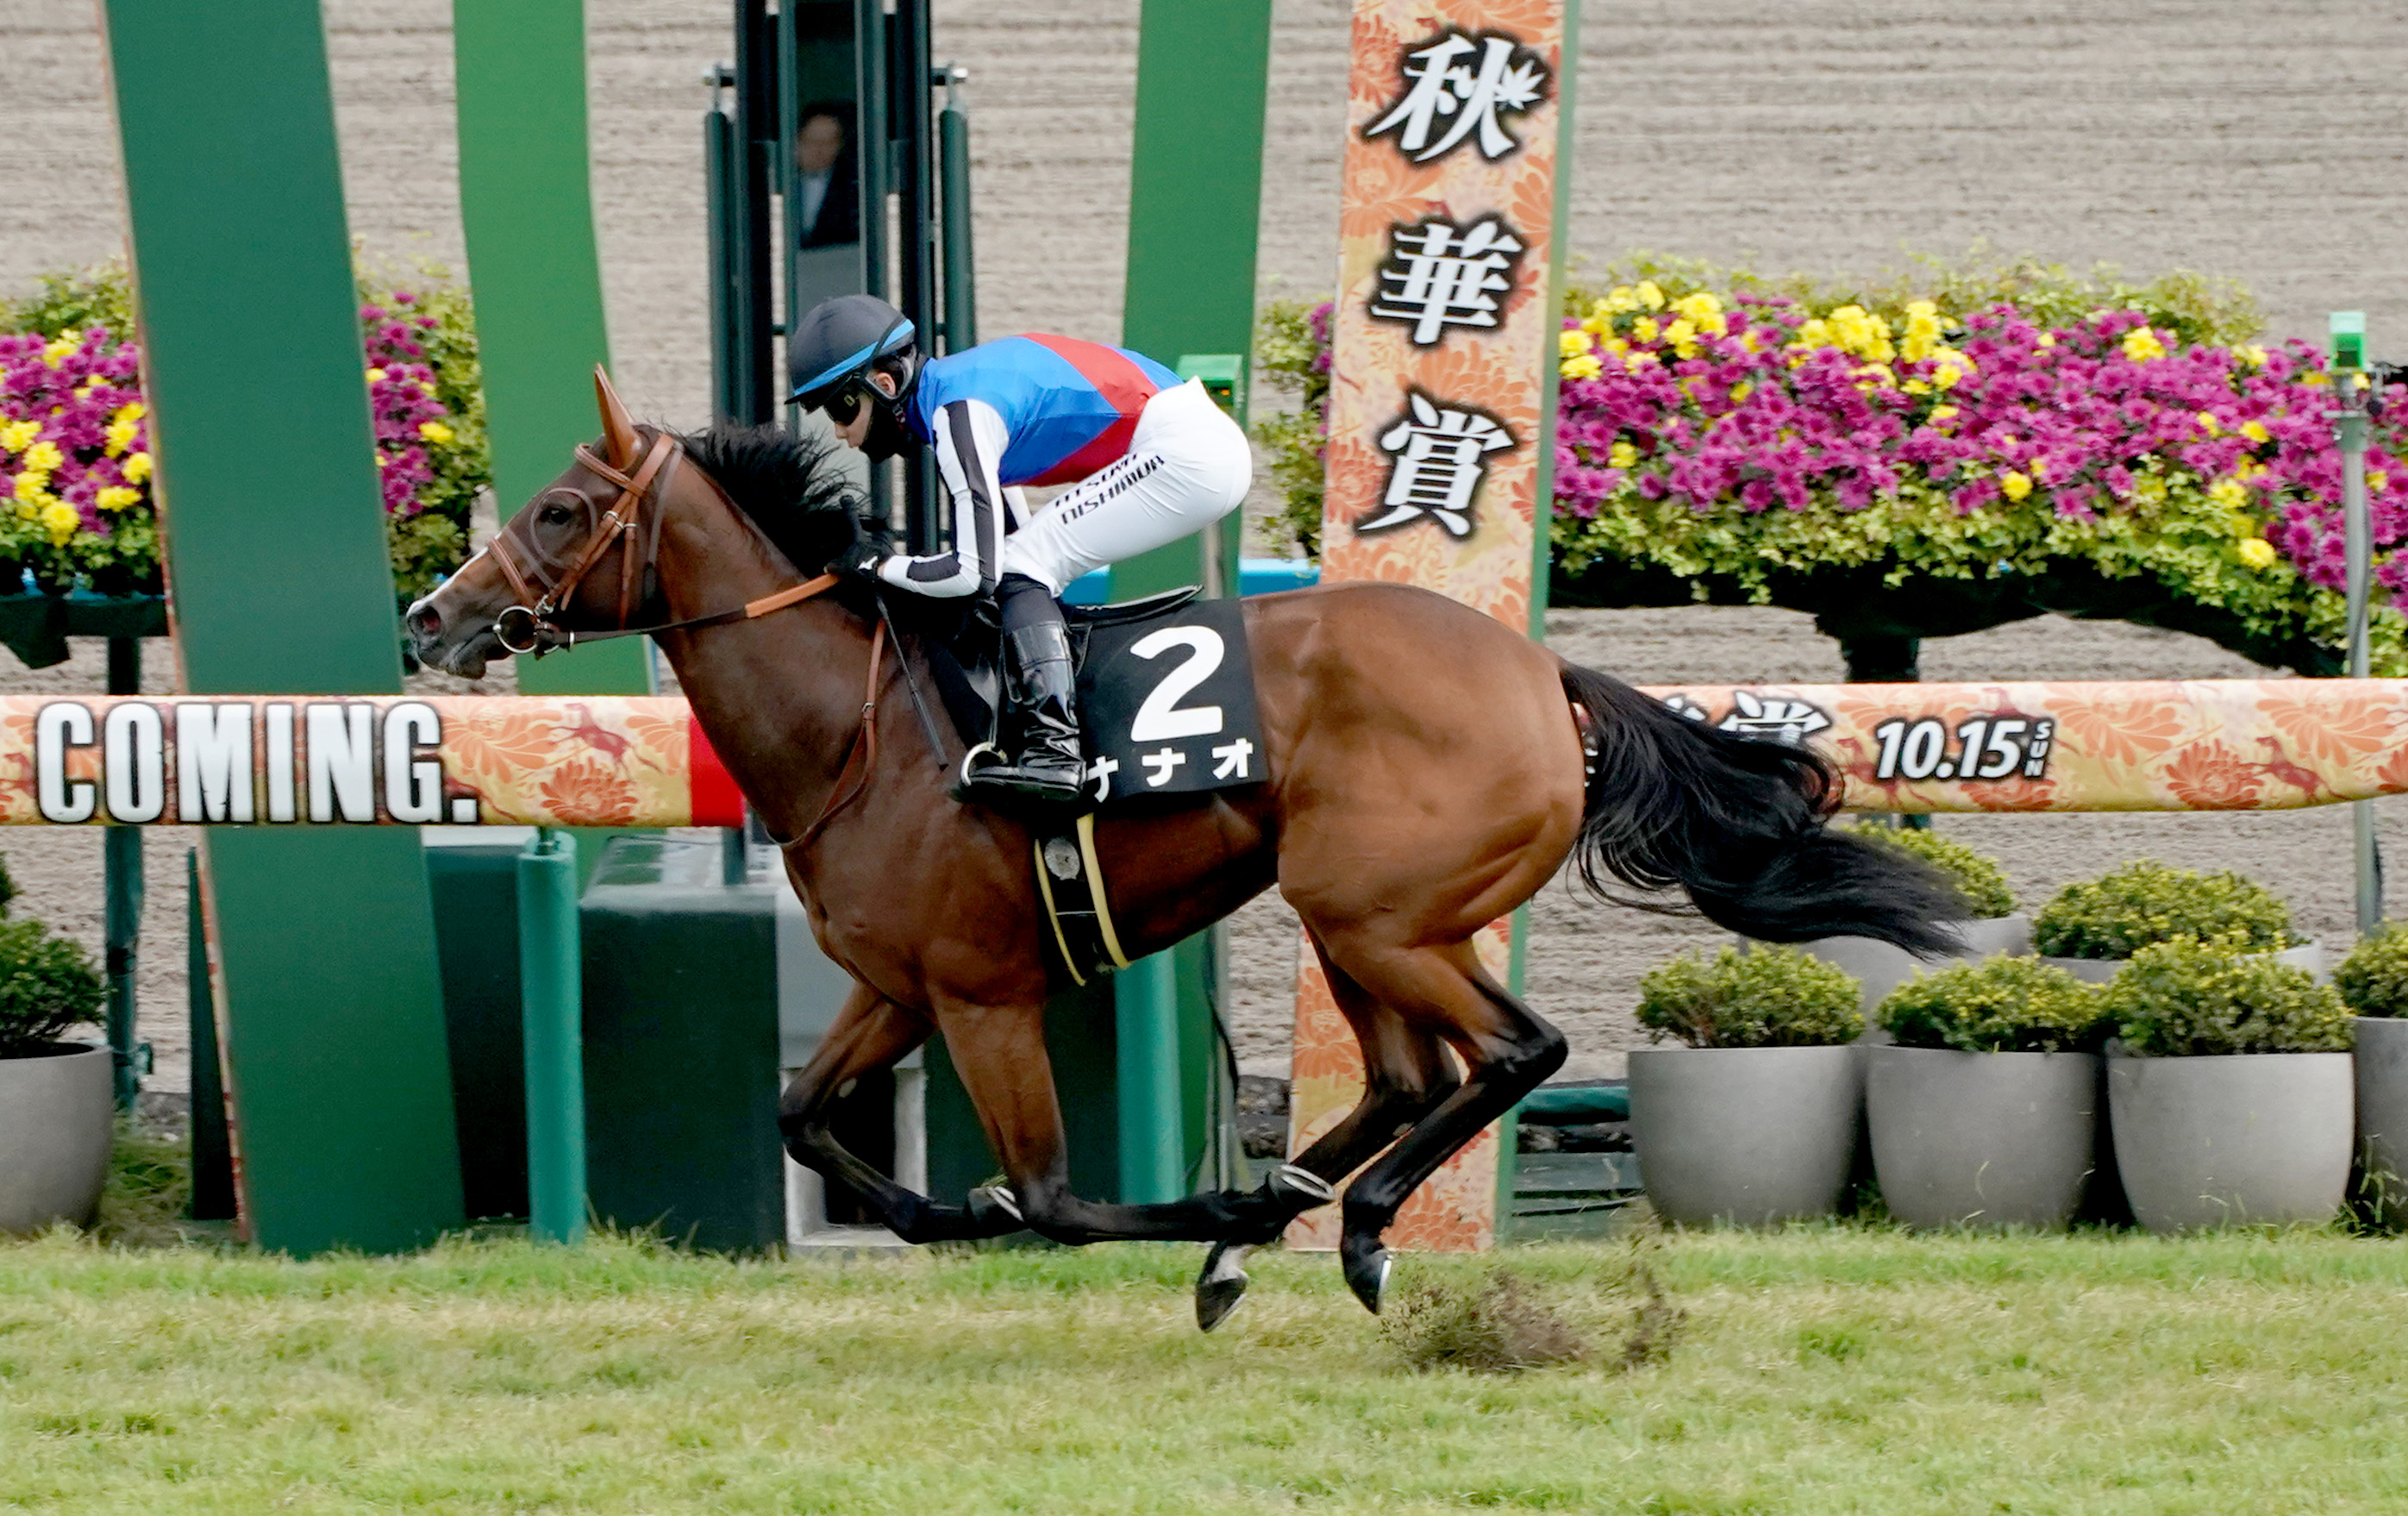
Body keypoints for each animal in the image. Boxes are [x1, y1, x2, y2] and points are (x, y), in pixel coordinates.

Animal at [409, 376, 1955, 1320]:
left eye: (559, 510)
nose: (435, 617)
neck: (857, 723)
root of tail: (1544, 672)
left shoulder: (985, 994)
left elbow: (1053, 1197)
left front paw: (1179, 1197)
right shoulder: (896, 982)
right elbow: (801, 1113)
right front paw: (952, 1211)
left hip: (1373, 909)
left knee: (1516, 1051)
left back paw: (1320, 1219)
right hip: (1365, 918)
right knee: (1412, 1078)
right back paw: (1284, 1214)